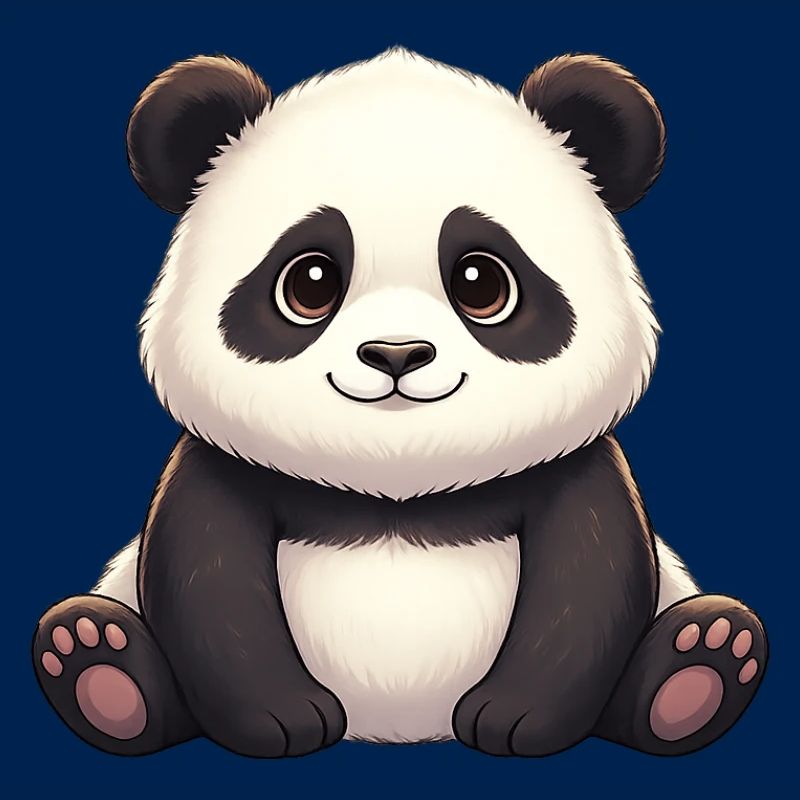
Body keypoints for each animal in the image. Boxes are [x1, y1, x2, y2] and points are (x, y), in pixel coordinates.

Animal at [33, 47, 767, 758]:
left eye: (482, 282)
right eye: (309, 282)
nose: (396, 354)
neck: (398, 478)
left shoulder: (576, 465)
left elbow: (590, 581)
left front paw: (516, 719)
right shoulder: (219, 463)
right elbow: (206, 581)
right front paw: (282, 719)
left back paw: (698, 667)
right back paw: (100, 667)